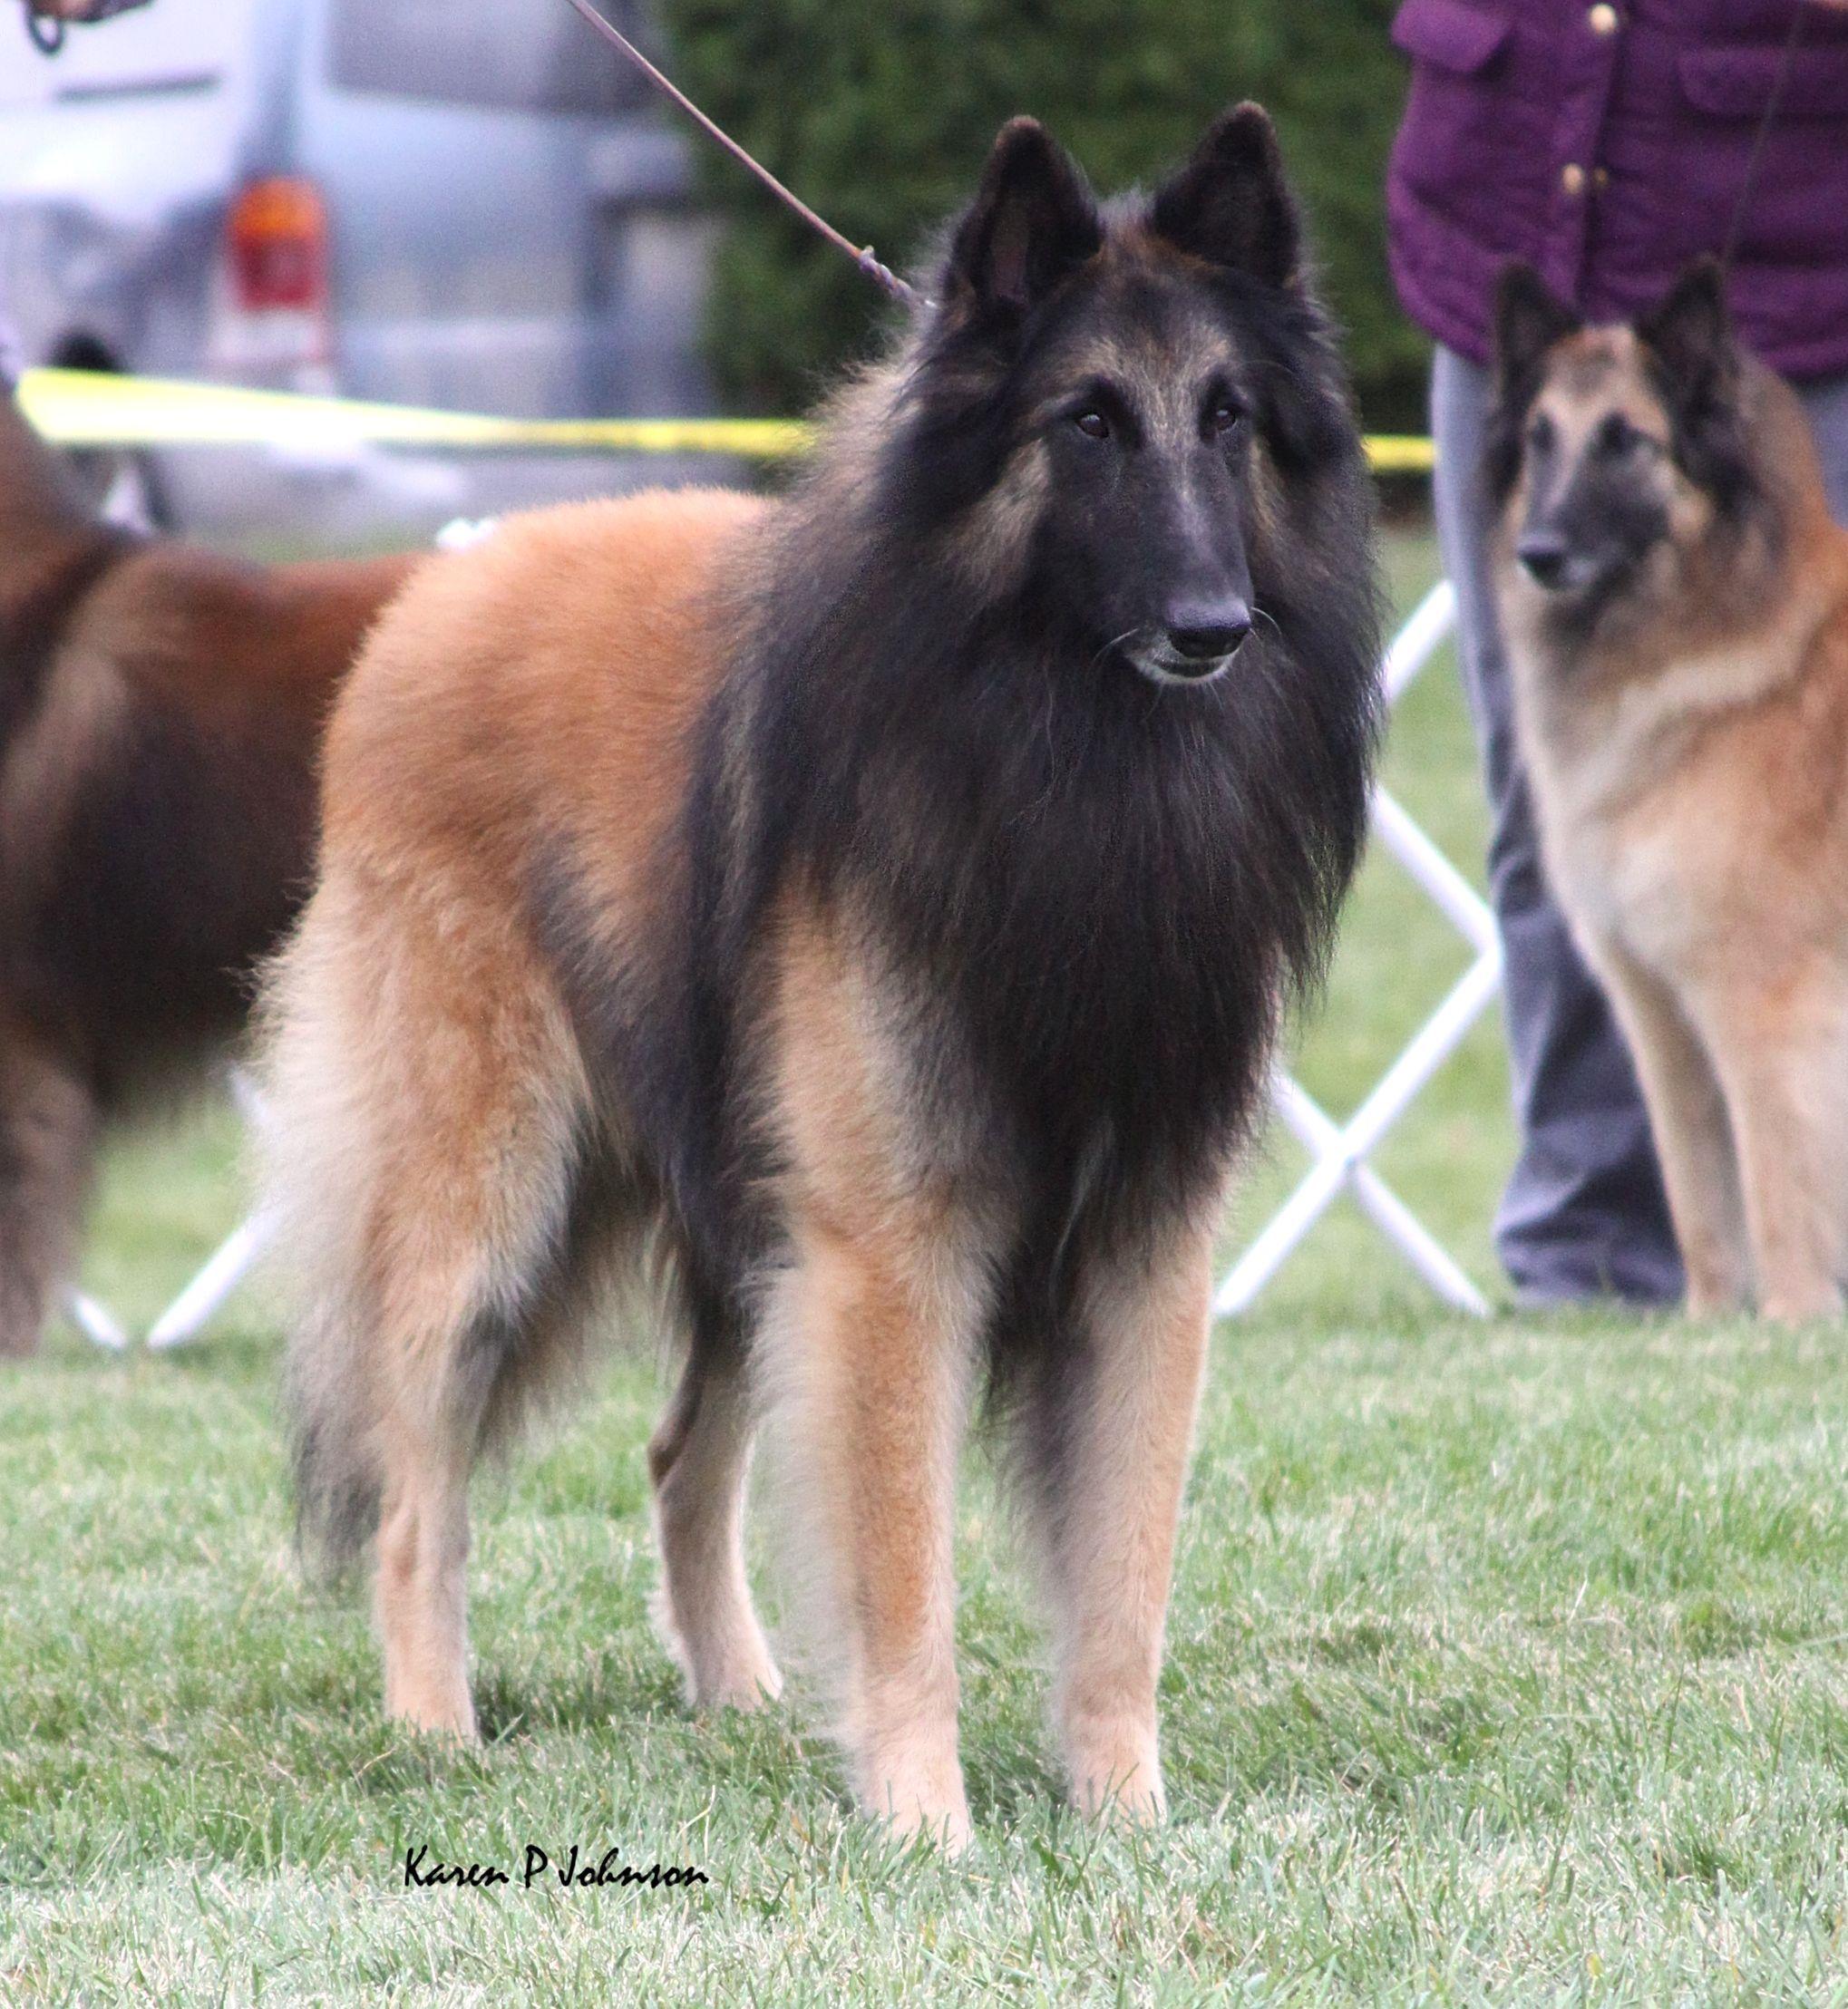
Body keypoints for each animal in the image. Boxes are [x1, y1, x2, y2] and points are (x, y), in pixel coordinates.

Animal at [260, 105, 1380, 1846]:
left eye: (1228, 421)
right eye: (1085, 421)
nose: (1213, 623)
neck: (1068, 754)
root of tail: (433, 593)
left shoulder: (1140, 1251)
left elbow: (1122, 1580)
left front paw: (1122, 1814)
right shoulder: (893, 1255)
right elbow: (906, 1574)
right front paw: (926, 1825)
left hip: (745, 1217)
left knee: (675, 1457)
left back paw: (735, 1700)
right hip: (494, 1198)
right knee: (411, 1486)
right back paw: (433, 1732)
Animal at [1489, 257, 1848, 1322]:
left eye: (1628, 443)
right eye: (1539, 439)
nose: (1537, 553)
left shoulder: (1764, 1001)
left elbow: (1778, 1190)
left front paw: (1793, 1324)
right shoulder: (1656, 1008)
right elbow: (1699, 1194)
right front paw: (1709, 1327)